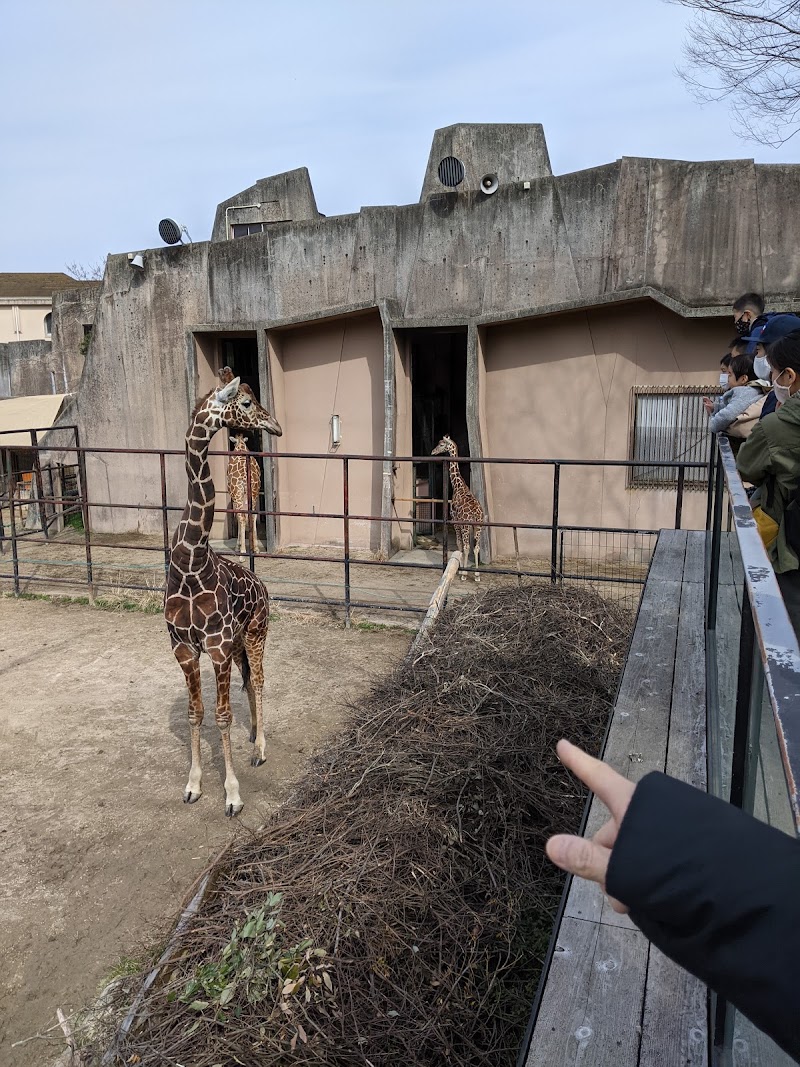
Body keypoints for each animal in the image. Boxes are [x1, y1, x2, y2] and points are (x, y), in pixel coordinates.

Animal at [164, 371, 283, 810]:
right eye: (245, 403)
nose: (274, 426)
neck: (191, 562)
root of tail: (262, 586)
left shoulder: (215, 647)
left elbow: (222, 715)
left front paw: (232, 793)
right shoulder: (184, 649)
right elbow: (196, 714)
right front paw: (194, 785)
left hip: (256, 633)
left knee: (261, 681)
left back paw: (260, 747)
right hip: (237, 644)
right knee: (249, 682)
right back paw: (253, 735)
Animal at [435, 433, 486, 584]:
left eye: (441, 444)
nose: (433, 451)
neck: (458, 485)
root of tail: (476, 514)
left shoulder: (455, 520)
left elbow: (459, 544)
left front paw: (460, 570)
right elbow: (466, 547)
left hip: (466, 526)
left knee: (467, 546)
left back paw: (464, 574)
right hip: (478, 526)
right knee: (476, 547)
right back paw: (477, 575)